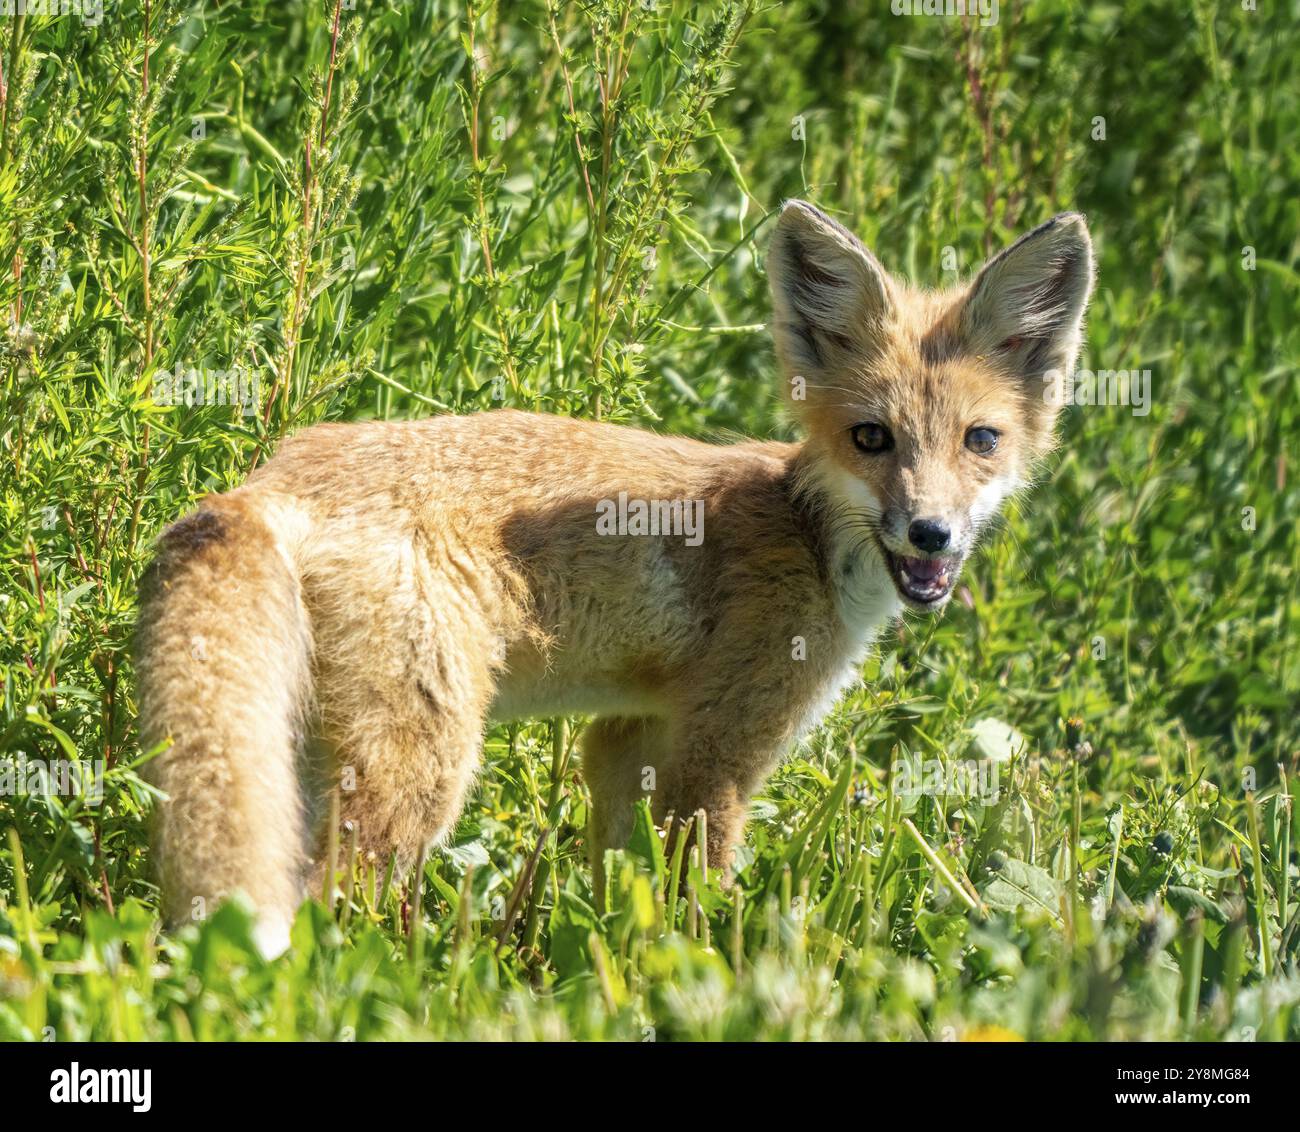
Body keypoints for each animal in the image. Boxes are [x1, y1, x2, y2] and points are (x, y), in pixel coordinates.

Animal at [136, 201, 1094, 957]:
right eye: (872, 439)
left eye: (980, 441)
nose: (931, 532)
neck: (807, 534)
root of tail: (267, 478)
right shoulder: (718, 754)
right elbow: (697, 904)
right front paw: (707, 977)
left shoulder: (628, 733)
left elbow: (620, 890)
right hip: (421, 772)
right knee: (321, 907)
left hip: (308, 757)